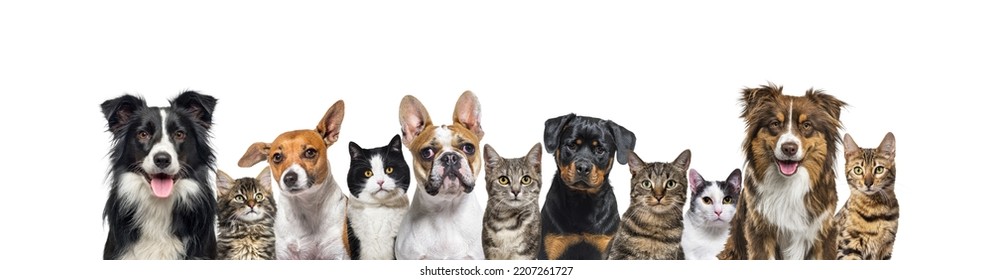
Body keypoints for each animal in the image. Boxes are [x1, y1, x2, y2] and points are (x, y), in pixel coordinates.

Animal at [540, 112, 640, 260]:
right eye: (572, 145)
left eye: (600, 150)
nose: (583, 167)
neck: (582, 201)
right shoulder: (551, 246)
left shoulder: (606, 246)